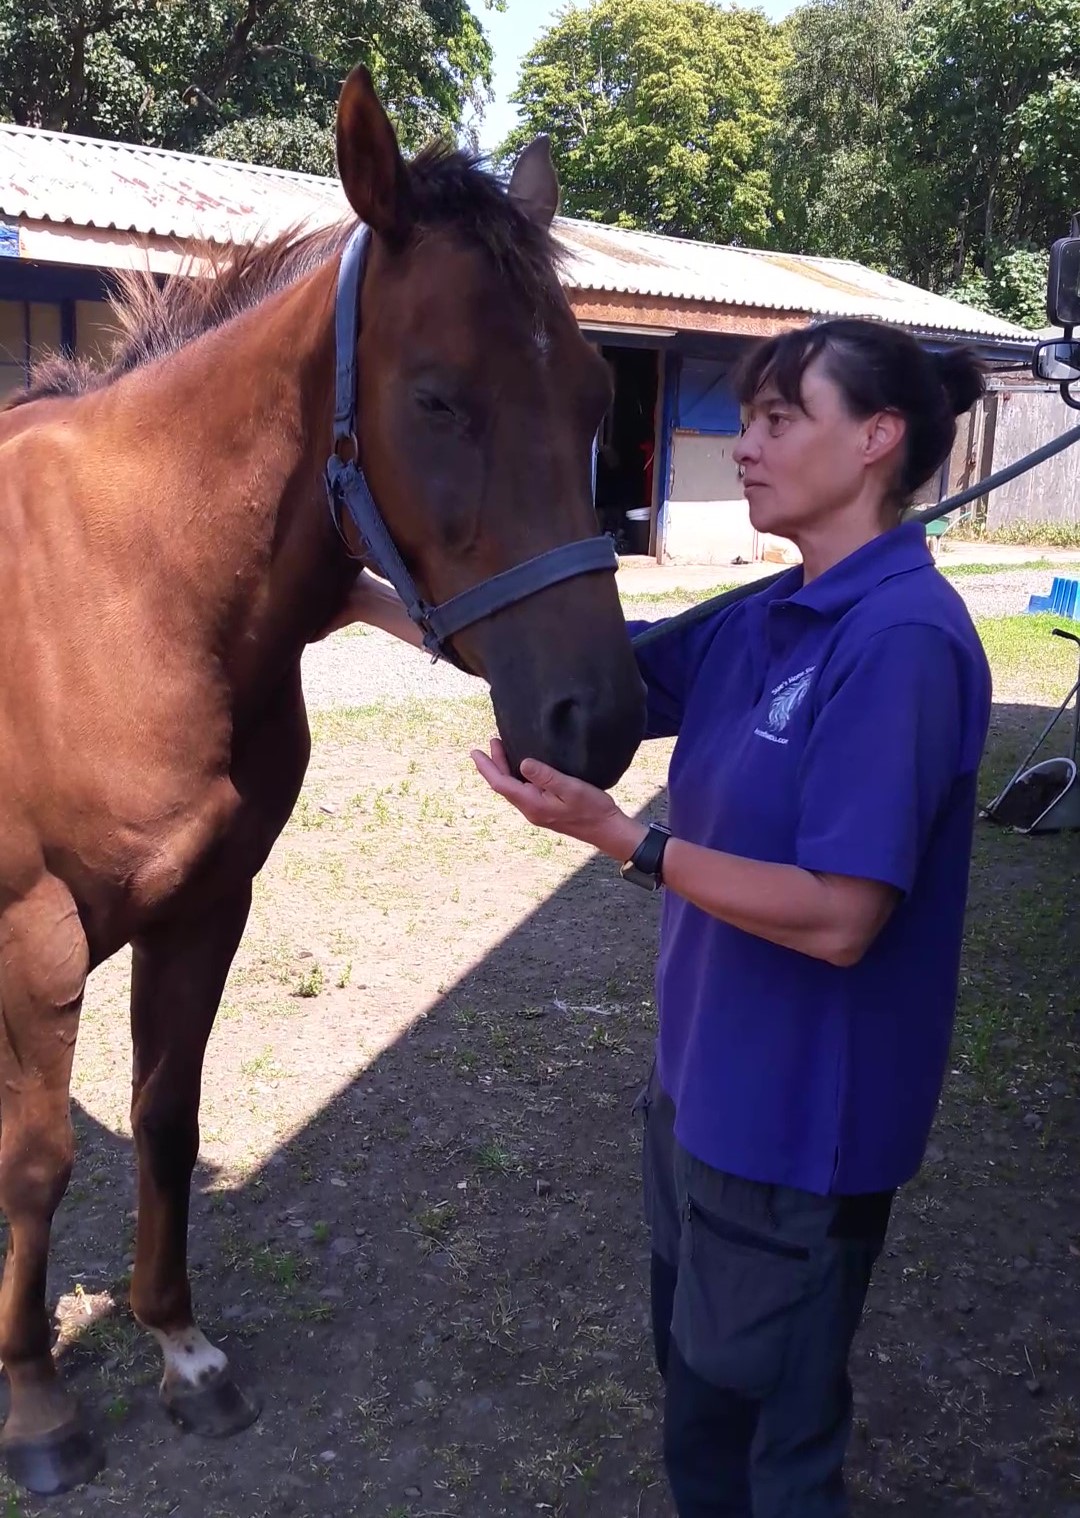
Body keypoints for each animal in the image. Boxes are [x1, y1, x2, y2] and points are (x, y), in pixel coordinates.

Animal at [0, 64, 646, 1494]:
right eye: (439, 399)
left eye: (594, 397)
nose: (600, 718)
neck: (132, 592)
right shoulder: (35, 943)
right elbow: (37, 1165)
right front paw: (35, 1407)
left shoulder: (207, 907)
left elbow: (165, 1119)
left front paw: (182, 1352)